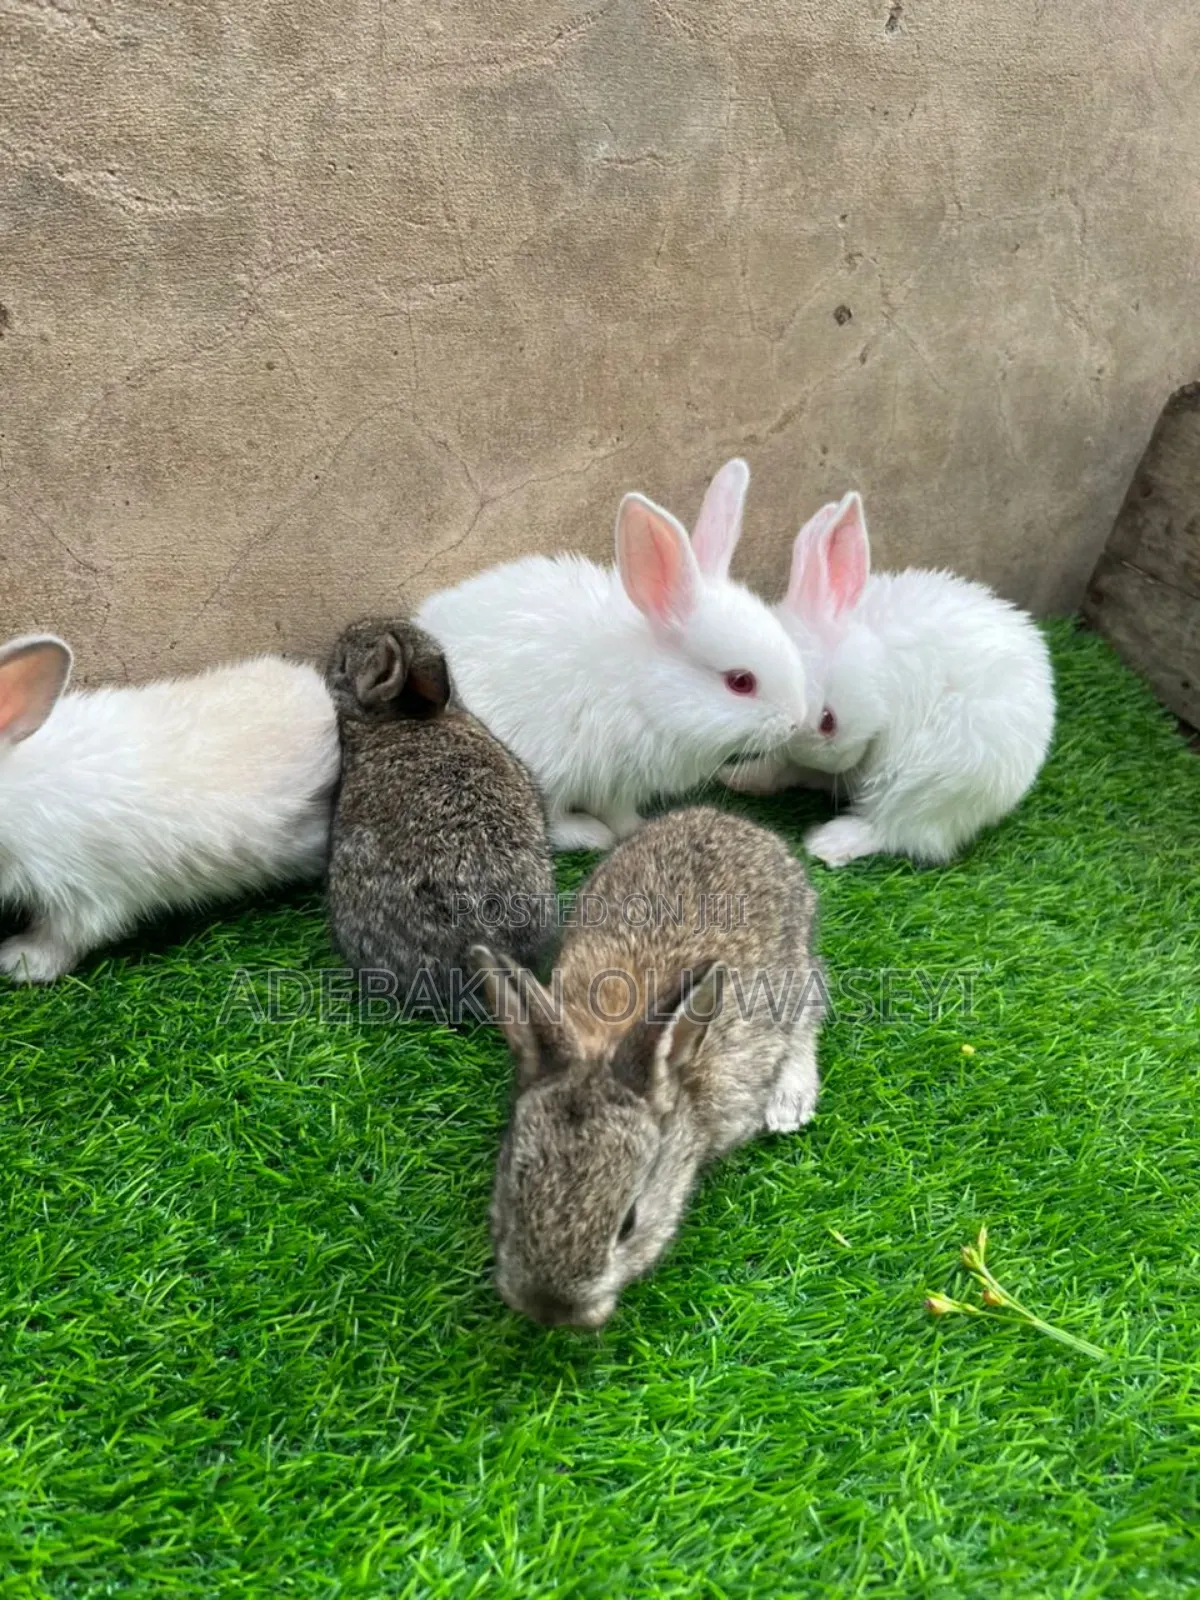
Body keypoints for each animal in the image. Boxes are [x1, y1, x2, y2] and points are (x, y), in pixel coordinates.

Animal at [415, 459, 809, 852]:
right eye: (740, 682)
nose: (795, 722)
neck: (642, 688)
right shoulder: (607, 776)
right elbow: (604, 815)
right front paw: (626, 830)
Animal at [721, 492, 1056, 866]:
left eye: (827, 721)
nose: (837, 763)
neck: (876, 665)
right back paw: (741, 778)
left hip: (929, 784)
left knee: (895, 829)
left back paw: (828, 842)